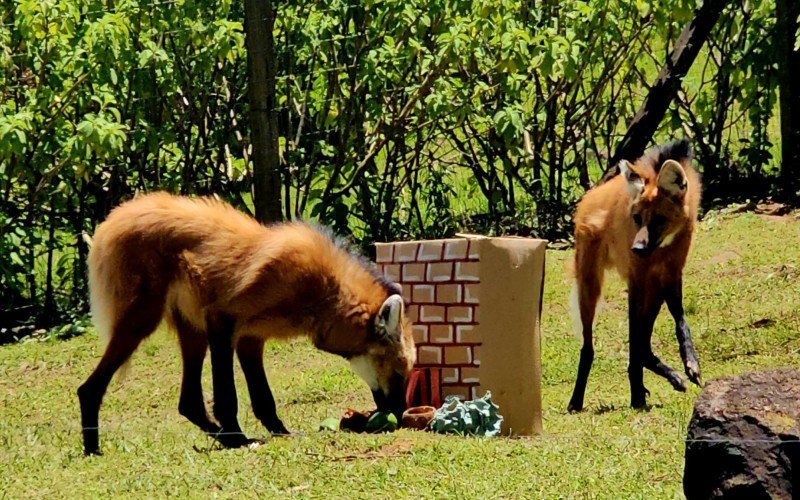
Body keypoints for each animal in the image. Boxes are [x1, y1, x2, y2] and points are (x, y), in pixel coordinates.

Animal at [78, 192, 416, 458]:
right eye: (399, 373)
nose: (400, 413)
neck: (323, 290)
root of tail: (115, 218)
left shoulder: (251, 337)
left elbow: (263, 397)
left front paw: (280, 433)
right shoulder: (222, 320)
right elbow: (228, 394)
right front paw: (239, 438)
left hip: (191, 329)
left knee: (188, 402)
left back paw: (218, 436)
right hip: (145, 319)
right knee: (89, 388)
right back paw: (94, 448)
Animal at [564, 140, 704, 410]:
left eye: (659, 219)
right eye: (637, 218)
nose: (637, 249)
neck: (662, 247)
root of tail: (589, 196)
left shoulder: (670, 273)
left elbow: (679, 319)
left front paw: (690, 364)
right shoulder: (637, 278)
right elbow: (635, 338)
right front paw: (638, 394)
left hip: (652, 288)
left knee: (644, 343)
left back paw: (662, 380)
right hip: (590, 283)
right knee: (588, 346)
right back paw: (576, 401)